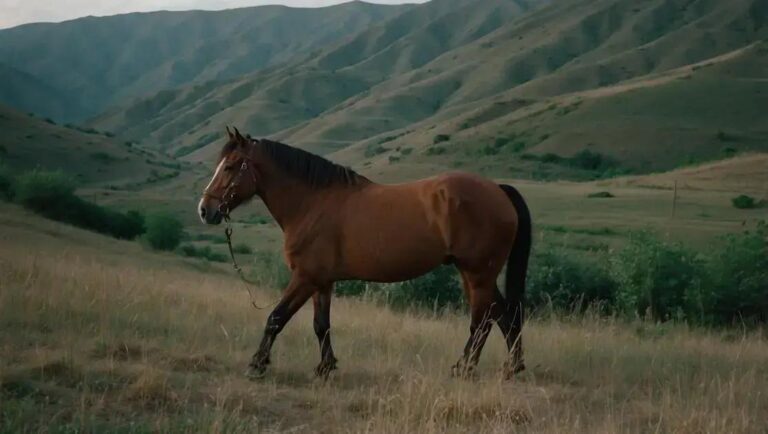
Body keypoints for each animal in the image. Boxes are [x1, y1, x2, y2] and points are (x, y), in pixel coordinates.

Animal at [198, 127, 532, 379]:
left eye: (230, 166)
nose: (205, 210)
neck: (312, 203)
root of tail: (498, 190)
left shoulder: (305, 278)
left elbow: (275, 318)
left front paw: (257, 364)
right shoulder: (323, 282)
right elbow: (321, 325)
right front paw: (325, 367)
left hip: (478, 274)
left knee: (483, 321)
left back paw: (465, 368)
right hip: (474, 274)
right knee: (503, 316)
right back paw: (511, 367)